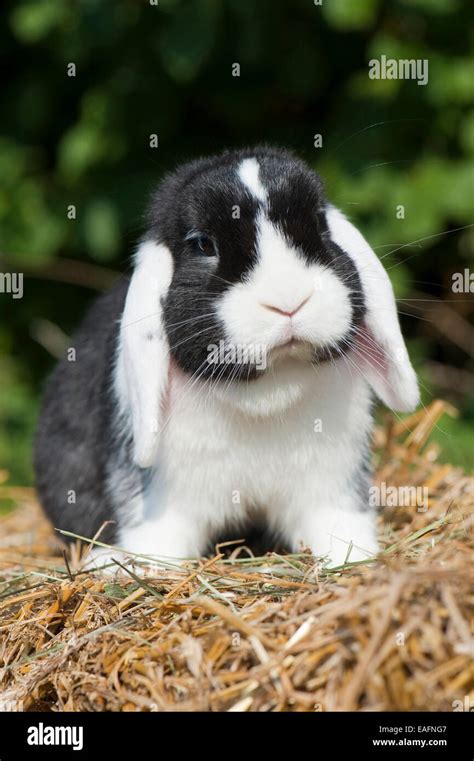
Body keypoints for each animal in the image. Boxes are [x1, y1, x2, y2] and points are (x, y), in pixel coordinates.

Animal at [34, 145, 418, 568]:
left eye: (319, 223)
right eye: (203, 244)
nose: (288, 300)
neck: (271, 390)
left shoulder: (331, 487)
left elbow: (339, 531)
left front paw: (352, 559)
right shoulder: (163, 503)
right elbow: (157, 543)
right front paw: (127, 567)